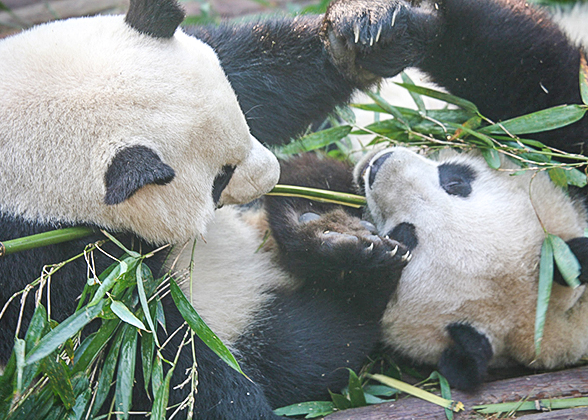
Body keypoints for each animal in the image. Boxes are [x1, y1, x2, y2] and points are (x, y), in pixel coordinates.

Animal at [0, 0, 424, 416]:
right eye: (221, 177)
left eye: (243, 119)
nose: (274, 175)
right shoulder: (42, 265)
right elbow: (143, 349)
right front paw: (236, 403)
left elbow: (267, 75)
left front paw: (361, 35)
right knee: (308, 344)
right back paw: (347, 257)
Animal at [264, 0, 588, 394]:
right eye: (457, 182)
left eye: (405, 236)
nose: (380, 166)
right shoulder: (570, 148)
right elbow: (527, 72)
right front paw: (385, 26)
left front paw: (332, 240)